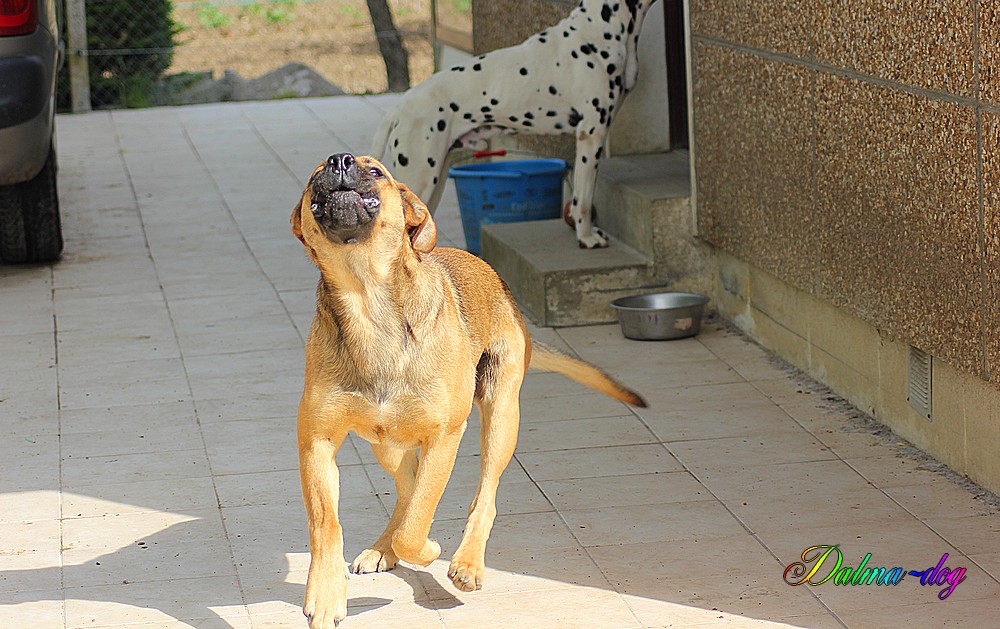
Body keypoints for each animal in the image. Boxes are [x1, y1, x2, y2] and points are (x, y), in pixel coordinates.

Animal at [292, 153, 644, 628]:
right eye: (315, 177)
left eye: (376, 170)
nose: (339, 161)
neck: (368, 304)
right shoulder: (317, 441)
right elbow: (328, 523)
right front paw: (327, 594)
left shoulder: (445, 436)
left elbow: (418, 524)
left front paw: (429, 551)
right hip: (386, 444)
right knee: (406, 489)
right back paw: (384, 548)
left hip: (501, 416)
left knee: (484, 495)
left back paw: (467, 563)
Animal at [372, 0, 660, 249]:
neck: (599, 28)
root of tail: (400, 107)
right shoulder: (592, 133)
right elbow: (585, 198)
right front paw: (587, 237)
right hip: (421, 176)